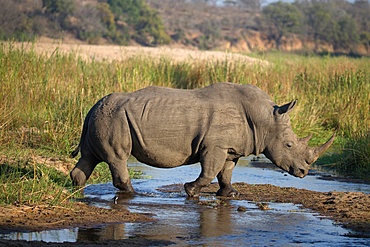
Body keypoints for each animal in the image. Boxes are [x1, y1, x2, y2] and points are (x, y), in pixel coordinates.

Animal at [69, 83, 336, 197]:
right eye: (289, 145)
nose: (303, 172)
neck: (264, 119)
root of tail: (92, 107)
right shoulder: (214, 145)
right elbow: (209, 171)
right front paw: (190, 191)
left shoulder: (230, 148)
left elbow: (225, 173)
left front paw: (230, 194)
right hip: (114, 118)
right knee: (118, 158)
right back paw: (135, 195)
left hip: (102, 117)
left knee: (90, 157)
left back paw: (78, 190)